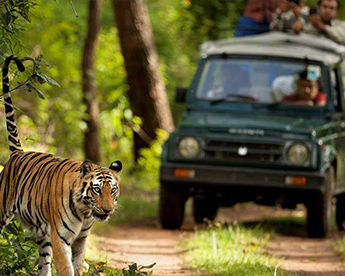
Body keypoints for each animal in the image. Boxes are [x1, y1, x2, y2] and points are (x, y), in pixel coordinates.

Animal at [0, 55, 122, 274]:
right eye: (97, 190)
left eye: (113, 190)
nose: (108, 210)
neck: (85, 212)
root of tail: (18, 153)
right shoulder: (60, 237)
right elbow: (66, 268)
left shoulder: (82, 238)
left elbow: (78, 265)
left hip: (42, 233)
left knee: (44, 265)